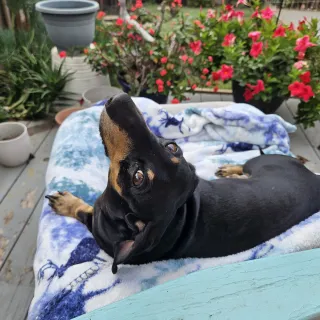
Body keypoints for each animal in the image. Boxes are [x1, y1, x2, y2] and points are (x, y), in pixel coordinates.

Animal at [46, 92, 320, 272]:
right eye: (172, 147)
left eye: (138, 177)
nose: (122, 98)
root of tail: (314, 178)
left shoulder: (96, 224)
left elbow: (83, 211)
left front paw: (65, 203)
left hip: (262, 161)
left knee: (249, 163)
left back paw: (231, 169)